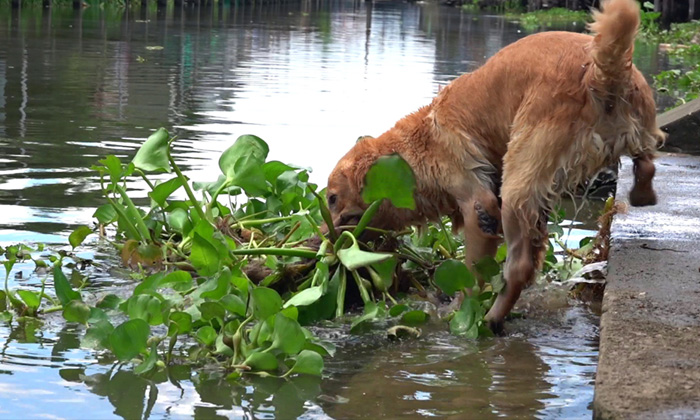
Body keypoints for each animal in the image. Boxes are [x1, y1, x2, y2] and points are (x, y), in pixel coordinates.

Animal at [326, 0, 664, 332]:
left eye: (331, 198)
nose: (325, 240)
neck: (422, 144)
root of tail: (598, 72)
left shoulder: (477, 201)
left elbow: (472, 273)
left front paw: (460, 310)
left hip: (518, 184)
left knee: (518, 268)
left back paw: (491, 319)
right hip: (636, 126)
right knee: (646, 165)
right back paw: (642, 194)